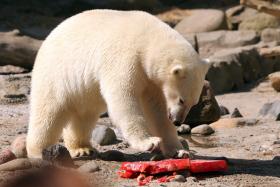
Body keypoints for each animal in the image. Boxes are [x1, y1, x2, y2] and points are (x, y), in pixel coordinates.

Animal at [26, 9, 209, 159]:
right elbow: (124, 100)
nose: (178, 121)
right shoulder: (125, 57)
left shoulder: (152, 80)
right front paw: (149, 142)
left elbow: (157, 111)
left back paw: (82, 148)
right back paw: (38, 150)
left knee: (84, 115)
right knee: (49, 112)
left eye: (194, 103)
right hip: (55, 73)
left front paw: (179, 151)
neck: (148, 39)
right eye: (181, 100)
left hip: (85, 91)